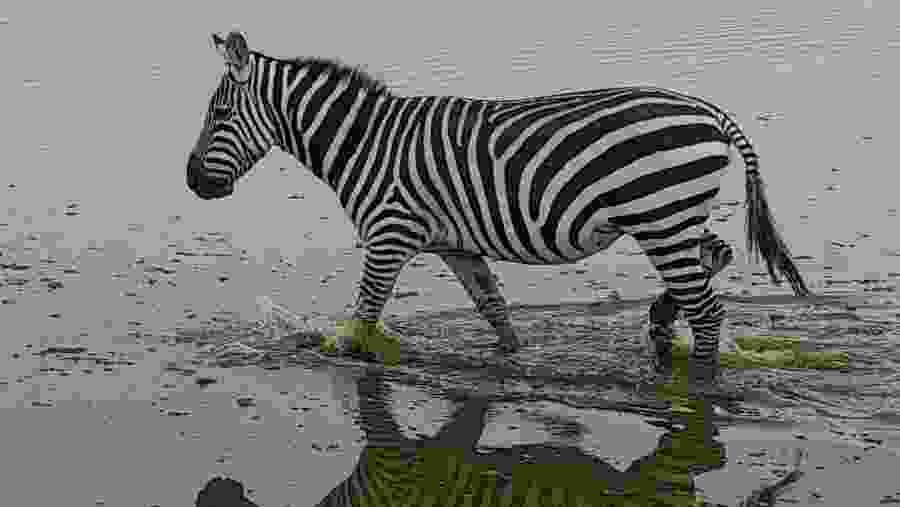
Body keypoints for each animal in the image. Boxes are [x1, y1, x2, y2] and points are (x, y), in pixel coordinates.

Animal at [187, 31, 810, 381]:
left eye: (219, 115)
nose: (193, 182)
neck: (367, 142)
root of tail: (710, 112)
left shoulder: (389, 234)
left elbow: (364, 316)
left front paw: (343, 355)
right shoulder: (455, 246)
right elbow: (495, 312)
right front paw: (510, 361)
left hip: (659, 216)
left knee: (707, 310)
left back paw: (696, 375)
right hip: (675, 217)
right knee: (716, 255)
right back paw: (660, 319)